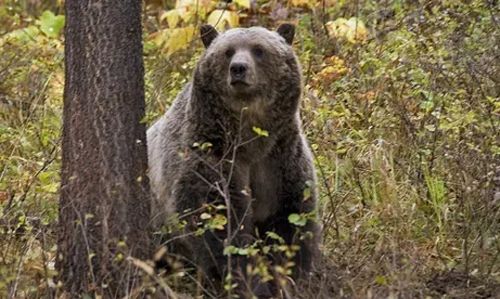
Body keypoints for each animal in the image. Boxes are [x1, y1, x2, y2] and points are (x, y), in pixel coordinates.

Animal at [147, 23, 320, 298]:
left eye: (259, 49)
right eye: (228, 51)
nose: (238, 68)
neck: (250, 139)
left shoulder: (280, 161)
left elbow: (290, 221)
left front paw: (290, 278)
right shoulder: (211, 157)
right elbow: (220, 225)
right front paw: (250, 283)